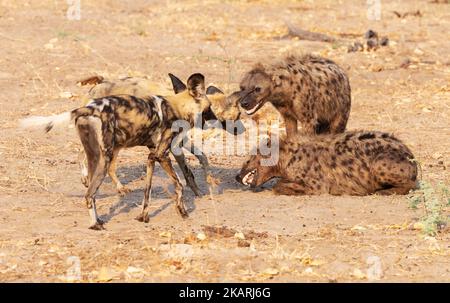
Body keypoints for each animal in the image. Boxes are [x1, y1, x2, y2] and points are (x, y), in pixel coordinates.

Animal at [21, 74, 221, 230]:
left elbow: (147, 192)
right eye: (209, 108)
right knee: (90, 193)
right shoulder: (162, 154)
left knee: (90, 181)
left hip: (99, 155)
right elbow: (179, 184)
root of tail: (91, 106)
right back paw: (96, 224)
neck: (177, 105)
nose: (217, 120)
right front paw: (183, 211)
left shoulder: (152, 156)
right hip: (106, 157)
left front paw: (143, 217)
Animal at [77, 73, 244, 197]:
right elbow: (188, 171)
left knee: (108, 166)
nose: (243, 130)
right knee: (84, 155)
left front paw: (206, 183)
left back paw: (116, 186)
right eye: (236, 117)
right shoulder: (174, 145)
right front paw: (197, 192)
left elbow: (202, 158)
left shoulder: (181, 141)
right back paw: (89, 178)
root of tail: (100, 83)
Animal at [237, 132, 416, 196]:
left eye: (248, 159)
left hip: (379, 163)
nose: (237, 176)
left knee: (411, 184)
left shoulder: (318, 185)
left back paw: (384, 191)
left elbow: (278, 185)